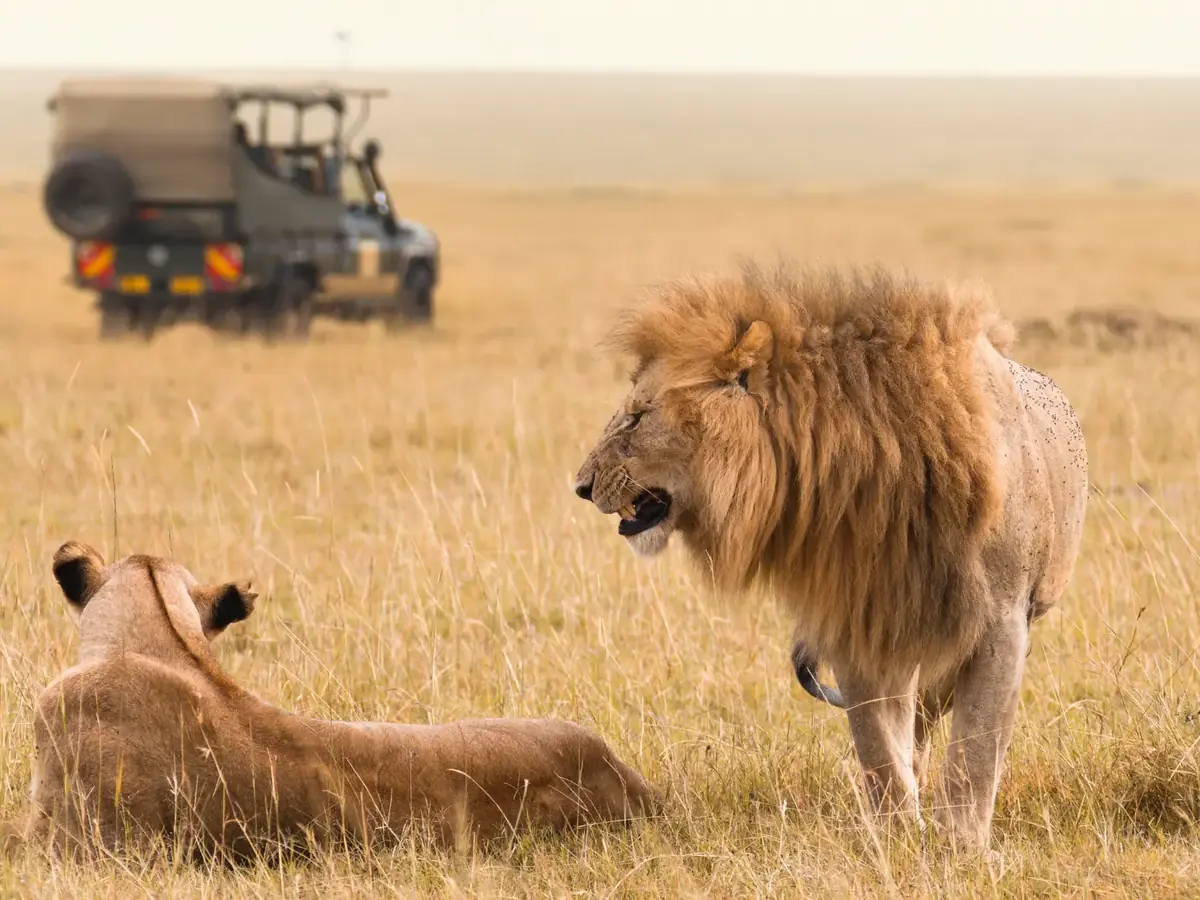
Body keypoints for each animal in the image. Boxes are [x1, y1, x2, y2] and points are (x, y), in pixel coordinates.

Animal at [573, 261, 1088, 851]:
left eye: (638, 418)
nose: (581, 486)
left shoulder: (1001, 622)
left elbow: (976, 749)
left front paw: (961, 848)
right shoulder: (858, 619)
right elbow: (877, 745)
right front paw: (897, 838)